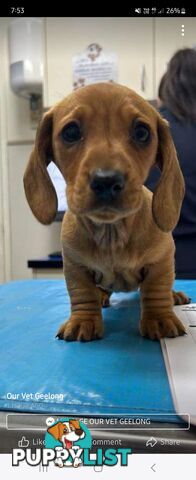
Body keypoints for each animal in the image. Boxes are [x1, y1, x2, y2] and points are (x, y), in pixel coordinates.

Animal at [23, 84, 190, 344]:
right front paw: (83, 320)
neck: (112, 234)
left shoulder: (161, 260)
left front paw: (159, 318)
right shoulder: (75, 266)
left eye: (142, 133)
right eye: (71, 132)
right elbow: (81, 293)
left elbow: (156, 289)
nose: (106, 180)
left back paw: (175, 296)